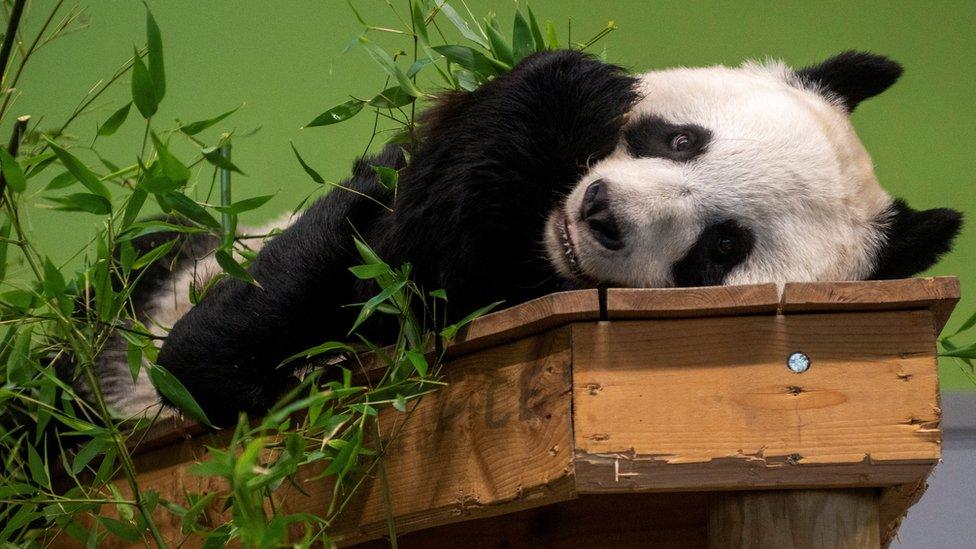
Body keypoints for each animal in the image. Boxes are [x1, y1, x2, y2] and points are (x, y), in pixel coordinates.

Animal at [82, 50, 960, 424]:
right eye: (681, 140)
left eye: (722, 247)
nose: (602, 213)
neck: (539, 240)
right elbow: (354, 236)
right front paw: (575, 86)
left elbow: (383, 297)